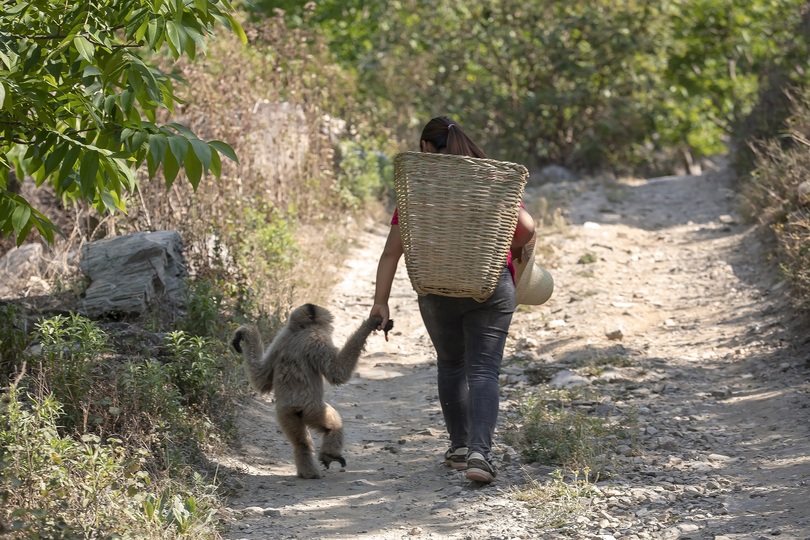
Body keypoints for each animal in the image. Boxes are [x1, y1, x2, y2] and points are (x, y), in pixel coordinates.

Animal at [230, 304, 388, 480]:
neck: (302, 328)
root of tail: (294, 406)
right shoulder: (317, 337)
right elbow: (337, 373)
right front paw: (371, 323)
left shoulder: (280, 338)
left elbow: (261, 380)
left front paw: (245, 333)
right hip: (313, 410)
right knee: (333, 425)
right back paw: (330, 455)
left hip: (285, 414)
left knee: (301, 442)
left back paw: (308, 472)